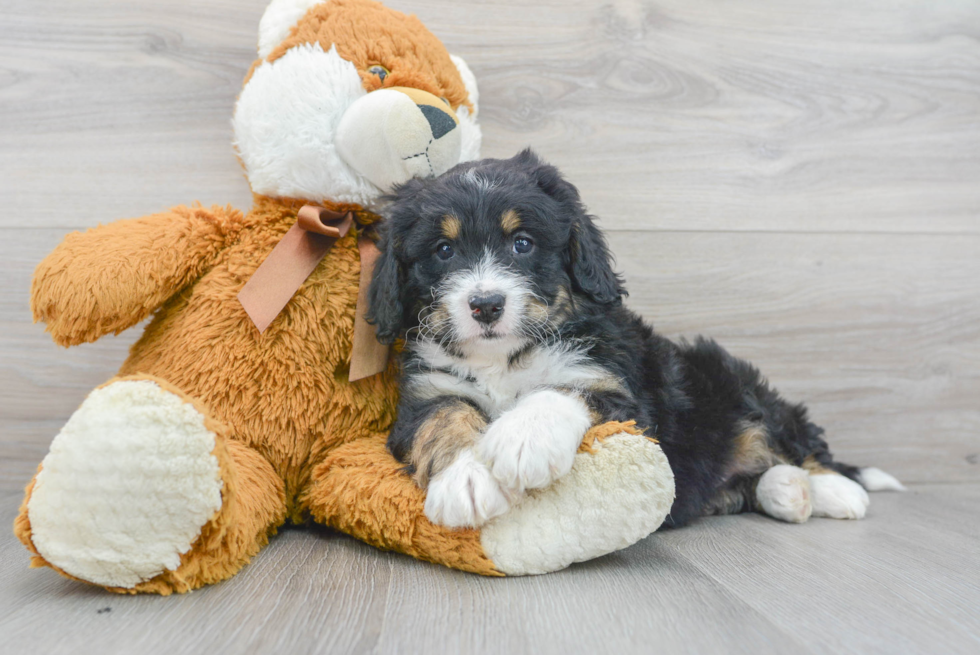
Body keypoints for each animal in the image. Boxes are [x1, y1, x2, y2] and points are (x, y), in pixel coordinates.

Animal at [368, 149, 904, 528]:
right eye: (443, 250)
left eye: (522, 244)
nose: (485, 305)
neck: (505, 358)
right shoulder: (426, 394)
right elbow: (444, 418)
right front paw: (466, 480)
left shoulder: (620, 391)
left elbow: (562, 389)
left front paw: (523, 439)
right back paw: (788, 492)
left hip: (730, 376)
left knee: (794, 438)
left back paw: (834, 490)